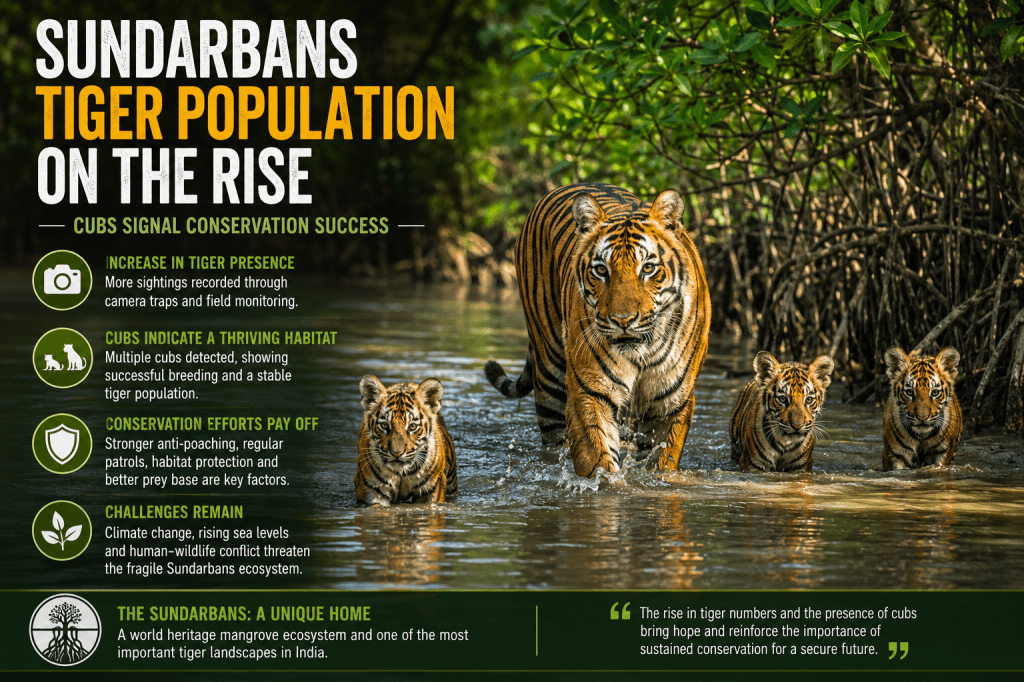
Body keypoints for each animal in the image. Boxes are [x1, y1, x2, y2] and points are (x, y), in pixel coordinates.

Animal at [485, 183, 711, 477]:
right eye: (601, 270)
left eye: (648, 268)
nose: (623, 320)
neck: (642, 351)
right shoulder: (590, 393)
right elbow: (598, 459)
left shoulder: (672, 403)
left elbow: (662, 460)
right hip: (549, 378)